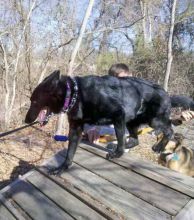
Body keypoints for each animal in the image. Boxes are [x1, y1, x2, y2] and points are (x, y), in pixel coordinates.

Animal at [25, 70, 173, 174]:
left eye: (35, 101)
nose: (25, 120)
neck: (75, 94)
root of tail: (166, 92)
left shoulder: (118, 114)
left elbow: (120, 138)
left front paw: (117, 154)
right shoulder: (76, 129)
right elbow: (70, 153)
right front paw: (62, 168)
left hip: (153, 120)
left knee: (170, 129)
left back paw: (158, 147)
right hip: (131, 122)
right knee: (135, 140)